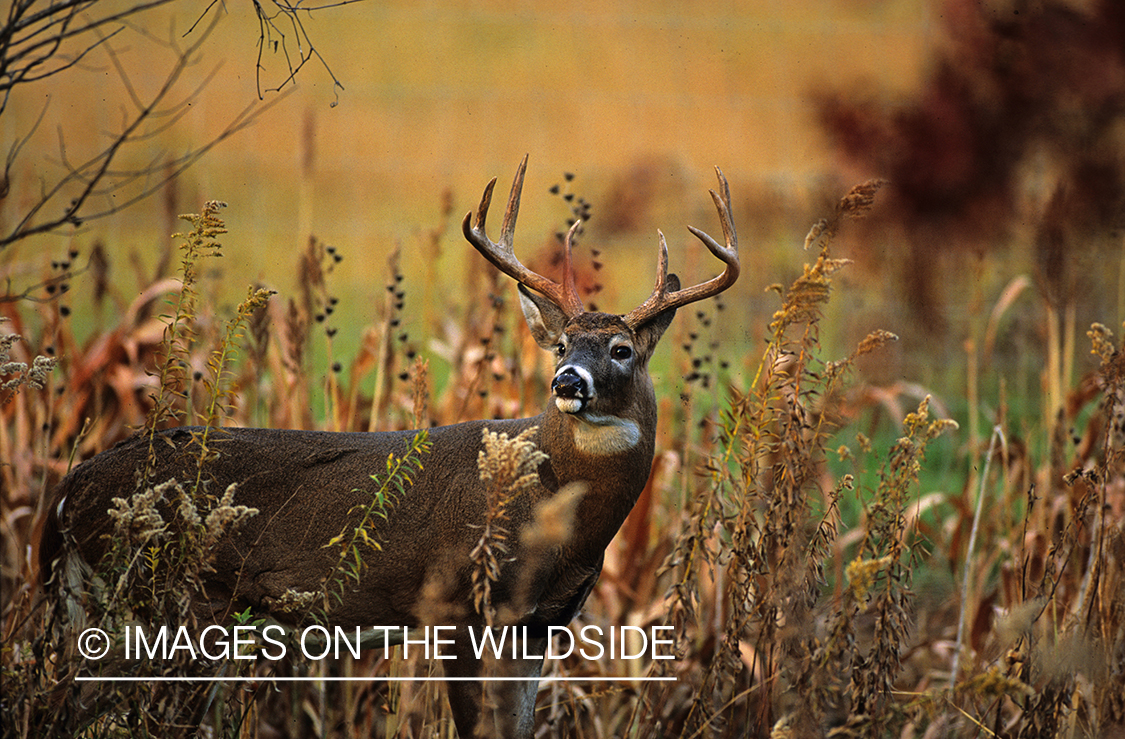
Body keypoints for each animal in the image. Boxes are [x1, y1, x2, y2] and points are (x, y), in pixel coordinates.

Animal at [39, 157, 738, 737]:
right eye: (563, 345)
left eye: (620, 350)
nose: (567, 382)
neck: (554, 511)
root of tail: (70, 490)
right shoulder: (458, 605)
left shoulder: (538, 627)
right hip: (174, 602)